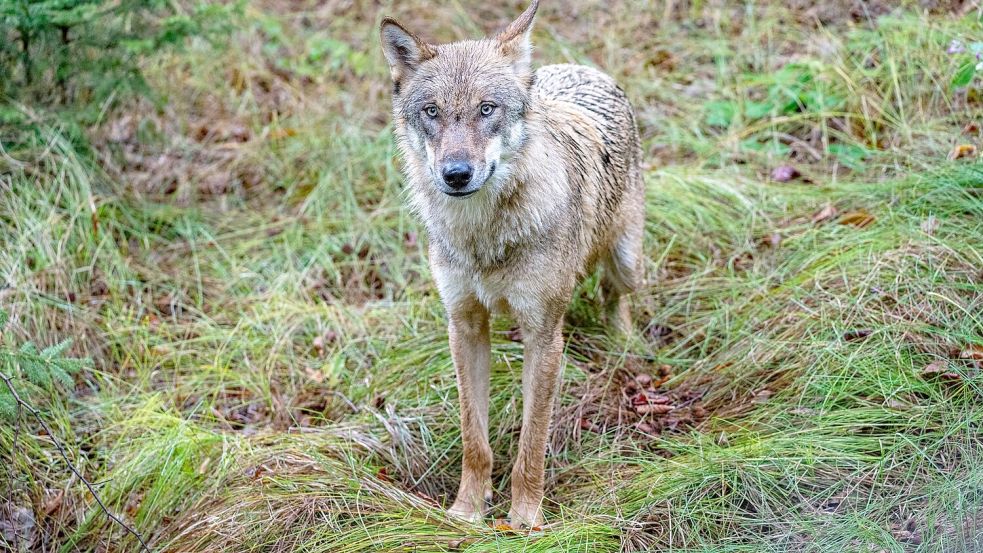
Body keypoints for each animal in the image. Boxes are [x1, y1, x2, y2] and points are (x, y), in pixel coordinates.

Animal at [380, 0, 644, 528]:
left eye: (487, 109)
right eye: (432, 112)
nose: (456, 174)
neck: (484, 235)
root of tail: (581, 69)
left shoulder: (543, 336)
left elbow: (532, 441)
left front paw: (524, 520)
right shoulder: (463, 326)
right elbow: (474, 439)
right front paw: (466, 511)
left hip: (625, 260)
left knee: (614, 294)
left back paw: (623, 344)